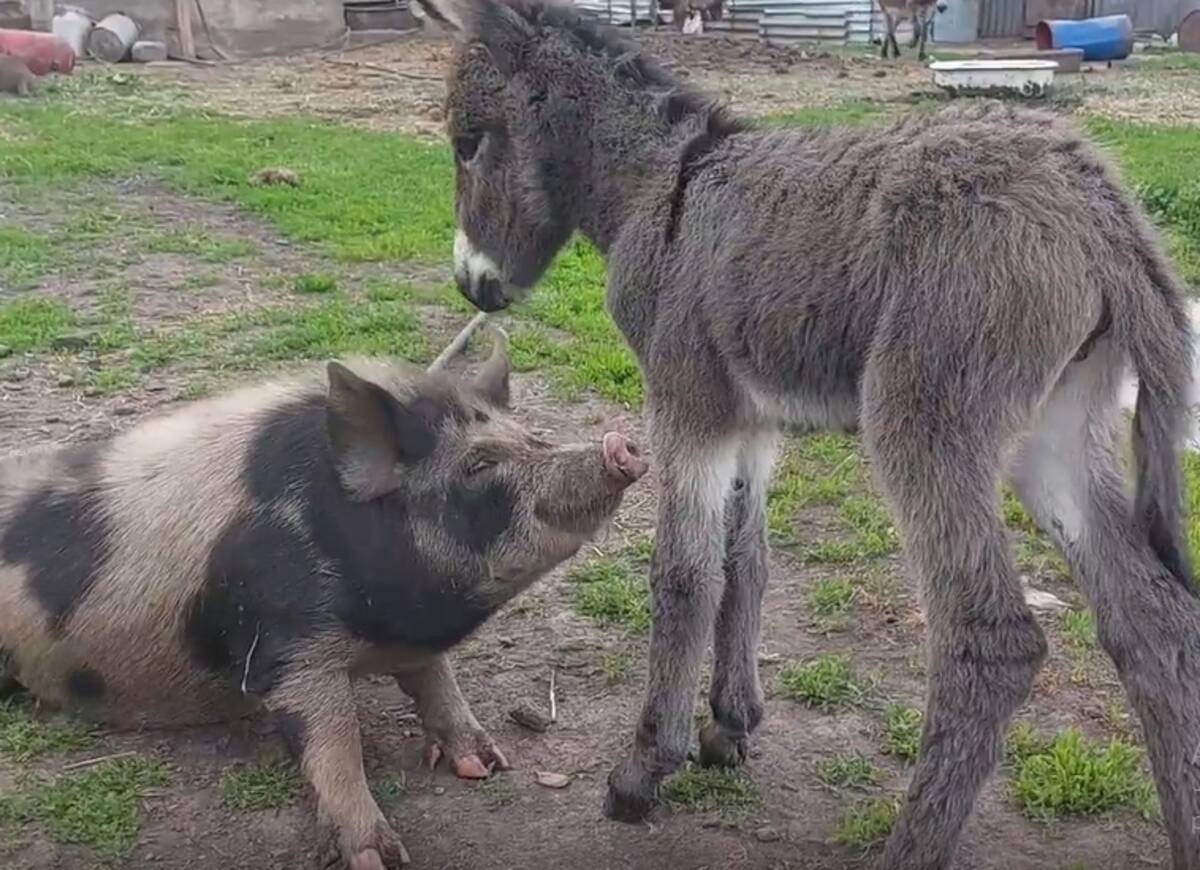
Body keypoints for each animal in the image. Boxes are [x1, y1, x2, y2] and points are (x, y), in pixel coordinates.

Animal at [0, 333, 648, 868]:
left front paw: (486, 767)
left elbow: (438, 683)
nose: (620, 445)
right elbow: (333, 742)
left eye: (534, 437)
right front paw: (379, 858)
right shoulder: (288, 647)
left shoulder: (411, 642)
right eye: (478, 465)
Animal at [412, 3, 1200, 864]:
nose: (471, 285)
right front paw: (730, 725)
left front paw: (645, 768)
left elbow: (683, 575)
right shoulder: (750, 420)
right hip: (1056, 431)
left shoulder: (685, 402)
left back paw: (909, 846)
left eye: (466, 141)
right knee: (1155, 625)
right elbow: (746, 559)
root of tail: (1102, 210)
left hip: (923, 419)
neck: (663, 185)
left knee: (992, 642)